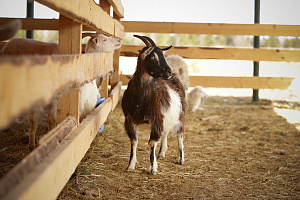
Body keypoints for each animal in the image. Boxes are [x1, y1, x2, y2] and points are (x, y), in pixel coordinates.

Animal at [120, 35, 186, 174]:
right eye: (152, 57)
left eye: (163, 55)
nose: (168, 72)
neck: (141, 99)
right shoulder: (130, 119)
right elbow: (134, 141)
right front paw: (130, 165)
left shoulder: (156, 119)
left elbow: (152, 143)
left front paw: (152, 168)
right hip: (167, 117)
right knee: (166, 132)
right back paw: (161, 153)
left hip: (181, 116)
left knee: (180, 135)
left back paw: (180, 158)